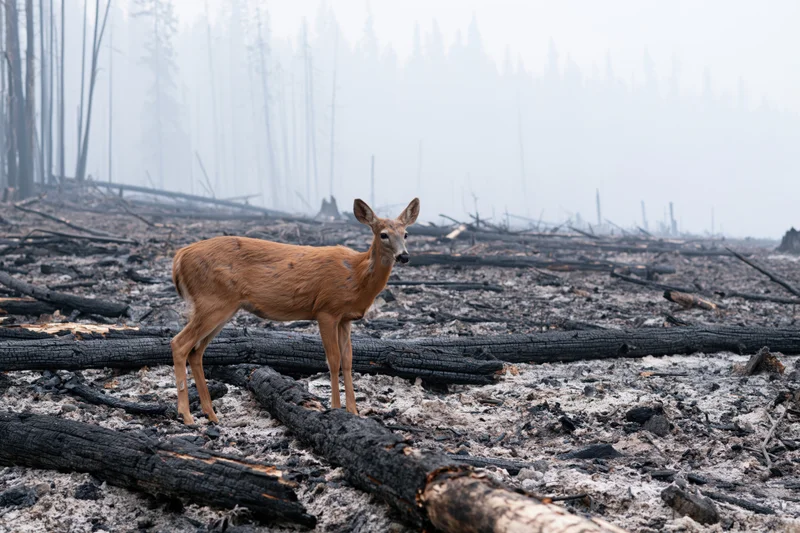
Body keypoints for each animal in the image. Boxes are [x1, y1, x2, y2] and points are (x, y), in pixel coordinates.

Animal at [170, 198, 420, 425]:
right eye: (383, 234)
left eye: (406, 234)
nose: (404, 256)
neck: (357, 277)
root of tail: (179, 257)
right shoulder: (326, 310)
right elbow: (333, 360)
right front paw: (336, 408)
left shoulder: (345, 318)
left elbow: (349, 360)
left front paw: (354, 412)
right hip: (212, 301)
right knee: (179, 343)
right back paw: (186, 415)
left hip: (221, 307)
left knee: (196, 351)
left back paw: (211, 414)